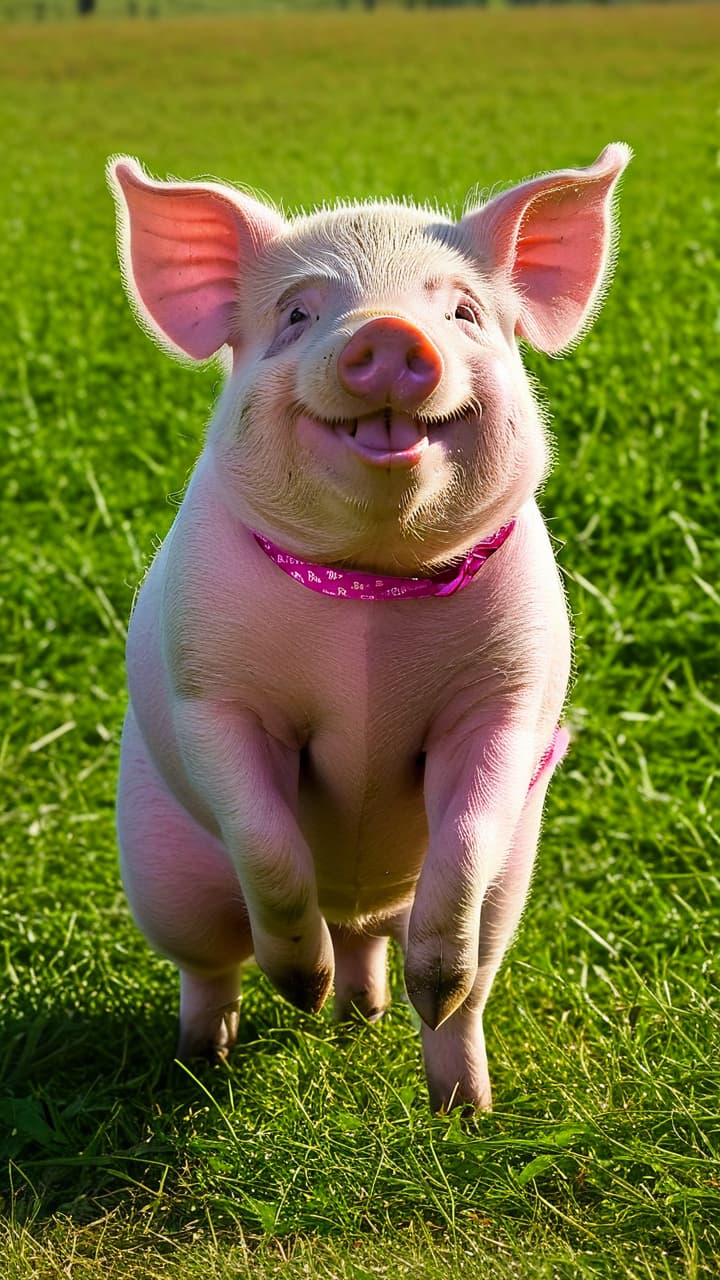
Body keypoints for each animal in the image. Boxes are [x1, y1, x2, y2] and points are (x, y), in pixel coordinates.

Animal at [109, 143, 630, 1112]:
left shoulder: (509, 698)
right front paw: (298, 993)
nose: (387, 332)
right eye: (298, 312)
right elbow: (265, 840)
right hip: (161, 872)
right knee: (210, 967)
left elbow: (468, 832)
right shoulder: (209, 693)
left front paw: (426, 993)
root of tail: (357, 904)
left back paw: (443, 1085)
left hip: (509, 891)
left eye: (462, 311)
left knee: (447, 981)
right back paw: (216, 1056)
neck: (370, 595)